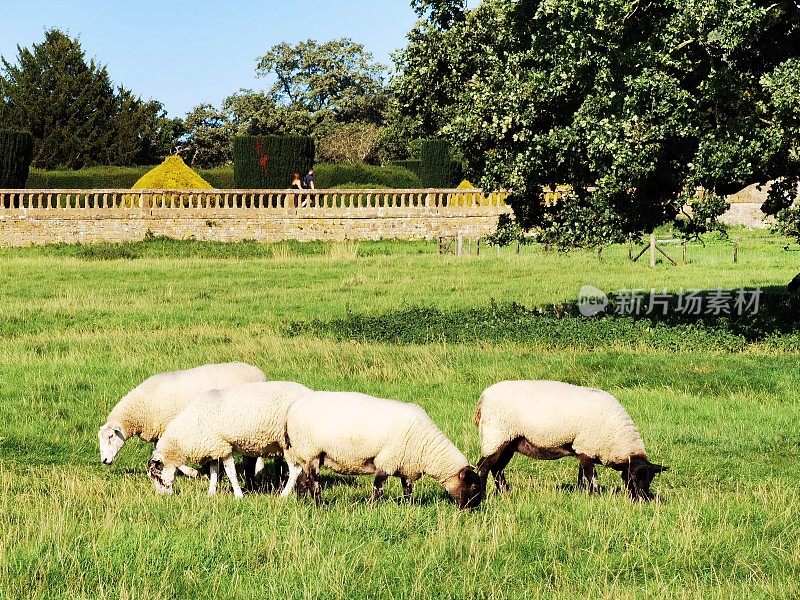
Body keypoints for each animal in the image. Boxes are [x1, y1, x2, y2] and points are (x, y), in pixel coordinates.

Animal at [97, 360, 266, 474]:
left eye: (111, 436)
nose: (104, 461)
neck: (143, 406)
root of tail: (259, 372)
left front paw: (193, 472)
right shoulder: (159, 430)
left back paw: (259, 471)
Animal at [476, 380, 668, 502]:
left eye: (650, 479)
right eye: (633, 477)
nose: (642, 500)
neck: (617, 439)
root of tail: (484, 397)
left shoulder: (582, 448)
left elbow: (582, 475)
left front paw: (581, 494)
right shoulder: (587, 447)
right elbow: (591, 476)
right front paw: (595, 496)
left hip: (509, 442)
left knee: (497, 469)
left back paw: (506, 494)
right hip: (496, 435)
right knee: (483, 467)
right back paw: (482, 495)